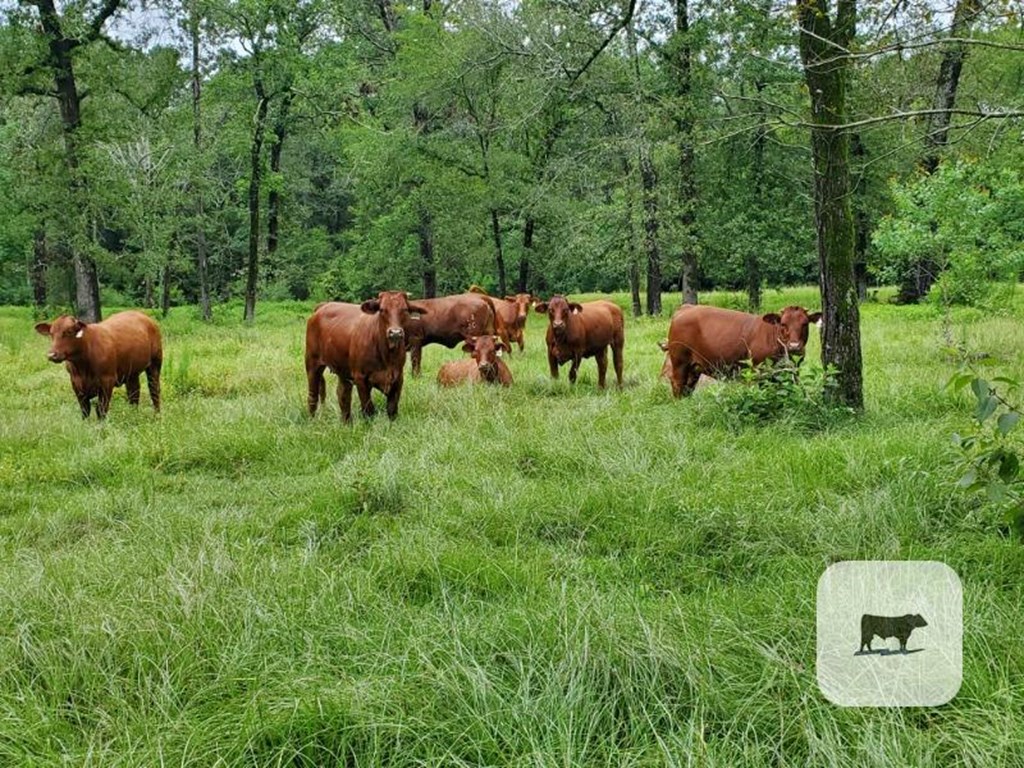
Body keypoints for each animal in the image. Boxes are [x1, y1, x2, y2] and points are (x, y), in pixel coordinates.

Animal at [305, 290, 430, 421]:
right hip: (312, 363)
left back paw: (347, 422)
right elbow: (369, 409)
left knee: (343, 394)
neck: (387, 356)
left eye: (405, 309)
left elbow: (392, 409)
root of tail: (323, 306)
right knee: (313, 395)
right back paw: (312, 419)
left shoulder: (398, 378)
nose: (395, 332)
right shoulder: (360, 378)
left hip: (343, 370)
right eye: (382, 309)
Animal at [663, 303, 823, 397]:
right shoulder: (759, 370)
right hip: (680, 362)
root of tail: (686, 307)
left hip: (694, 368)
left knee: (688, 388)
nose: (794, 346)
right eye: (783, 324)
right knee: (678, 385)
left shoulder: (791, 370)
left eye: (805, 323)